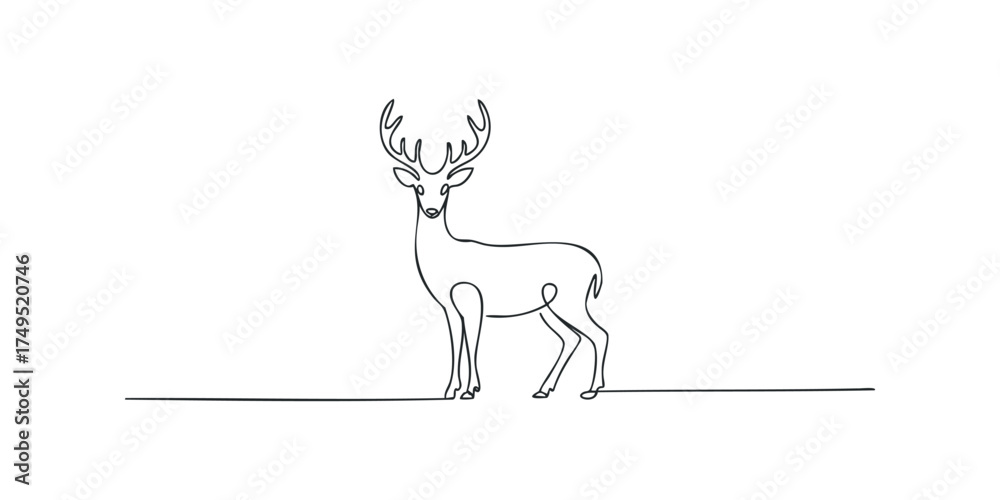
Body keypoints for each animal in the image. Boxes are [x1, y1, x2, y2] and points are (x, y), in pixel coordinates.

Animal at [379, 99, 609, 400]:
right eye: (419, 188)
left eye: (445, 188)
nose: (431, 210)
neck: (444, 260)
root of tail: (596, 267)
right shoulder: (449, 307)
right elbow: (456, 343)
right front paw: (450, 389)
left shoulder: (473, 297)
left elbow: (473, 341)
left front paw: (471, 389)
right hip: (548, 307)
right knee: (572, 337)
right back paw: (543, 389)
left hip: (570, 299)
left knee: (598, 334)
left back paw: (592, 389)